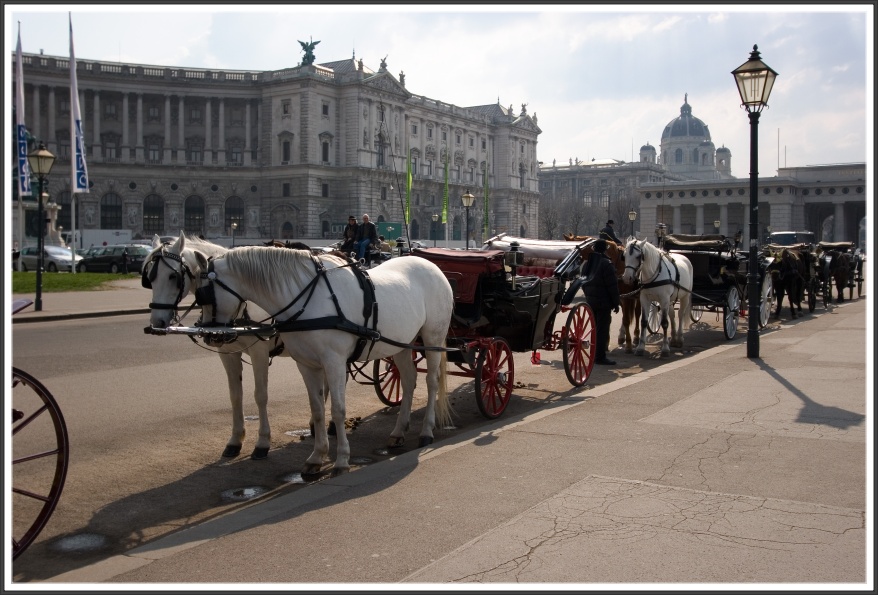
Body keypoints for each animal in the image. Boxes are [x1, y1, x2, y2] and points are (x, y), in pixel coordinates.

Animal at [143, 233, 282, 460]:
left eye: (173, 276)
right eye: (149, 278)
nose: (157, 322)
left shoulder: (259, 351)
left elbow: (260, 395)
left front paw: (262, 442)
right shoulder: (227, 353)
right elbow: (235, 395)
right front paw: (235, 440)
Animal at [192, 244, 454, 478]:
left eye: (204, 295)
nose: (210, 335)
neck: (309, 300)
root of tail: (431, 265)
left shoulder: (334, 362)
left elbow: (338, 409)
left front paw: (342, 460)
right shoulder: (306, 364)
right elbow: (317, 409)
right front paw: (316, 457)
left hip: (433, 338)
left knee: (431, 382)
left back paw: (426, 431)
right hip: (401, 343)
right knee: (409, 381)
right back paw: (398, 431)